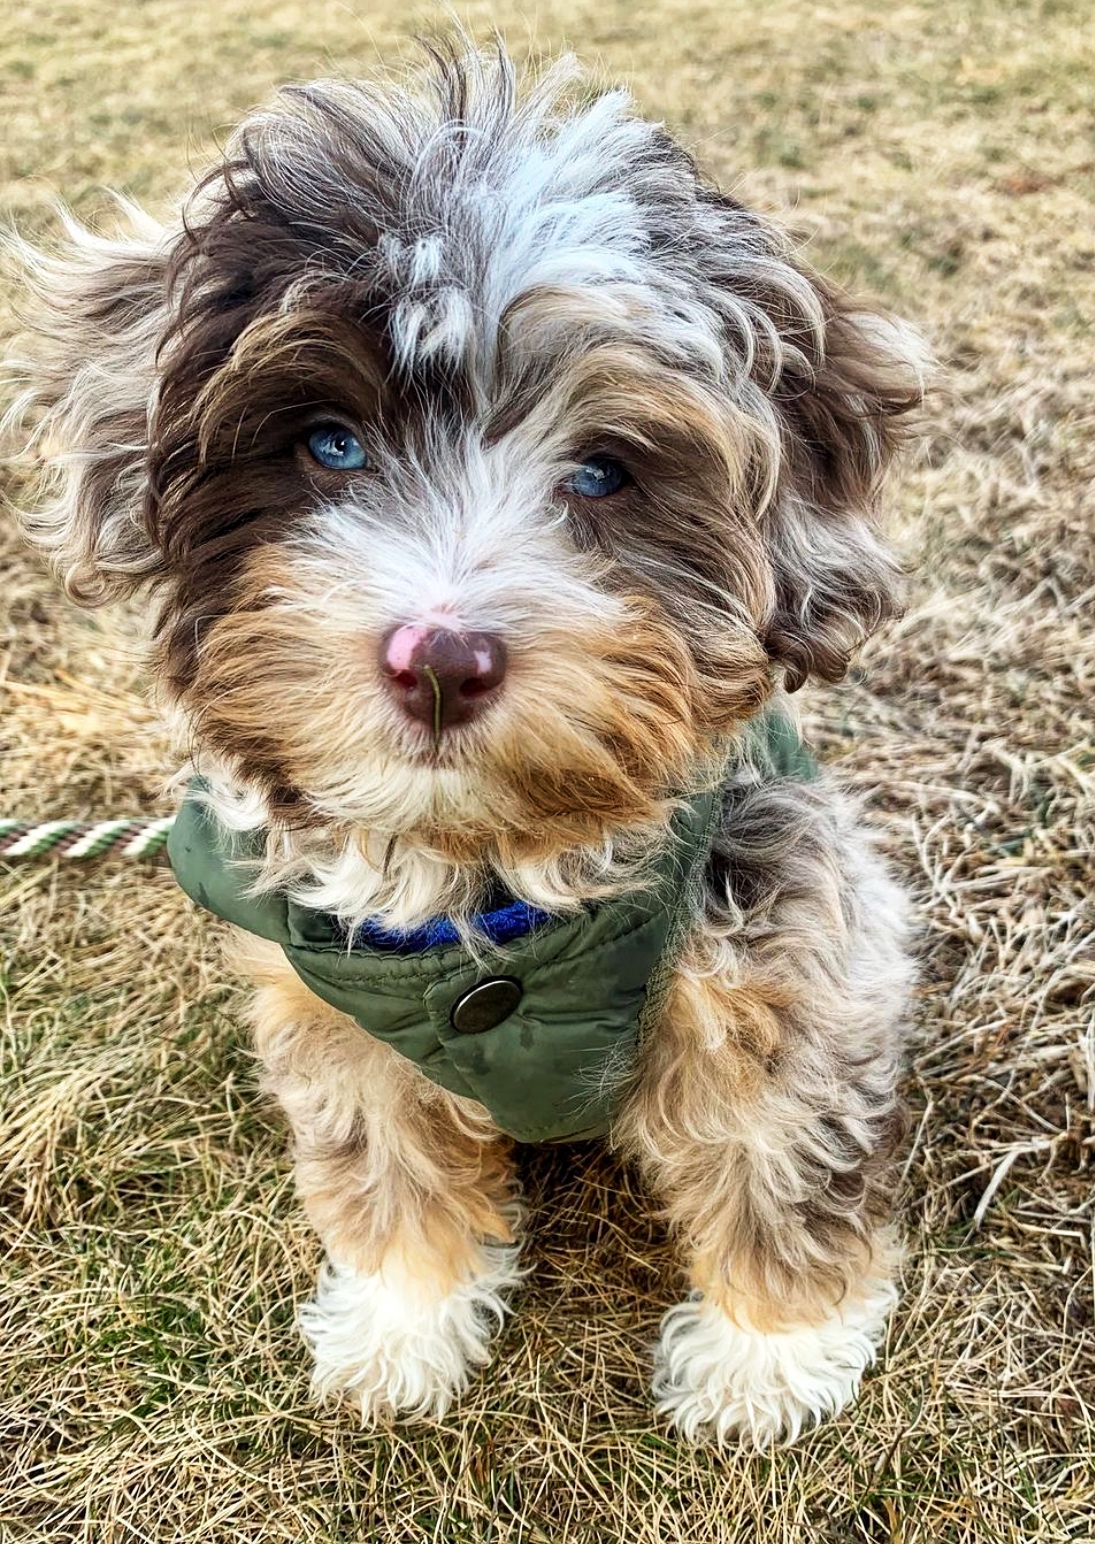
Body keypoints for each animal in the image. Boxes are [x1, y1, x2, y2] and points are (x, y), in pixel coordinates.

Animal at [8, 48, 920, 1445]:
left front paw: (770, 1353)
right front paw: (404, 1319)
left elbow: (775, 1152)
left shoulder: (784, 957)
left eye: (603, 472)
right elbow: (387, 1166)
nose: (439, 657)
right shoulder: (329, 1009)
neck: (484, 882)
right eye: (329, 443)